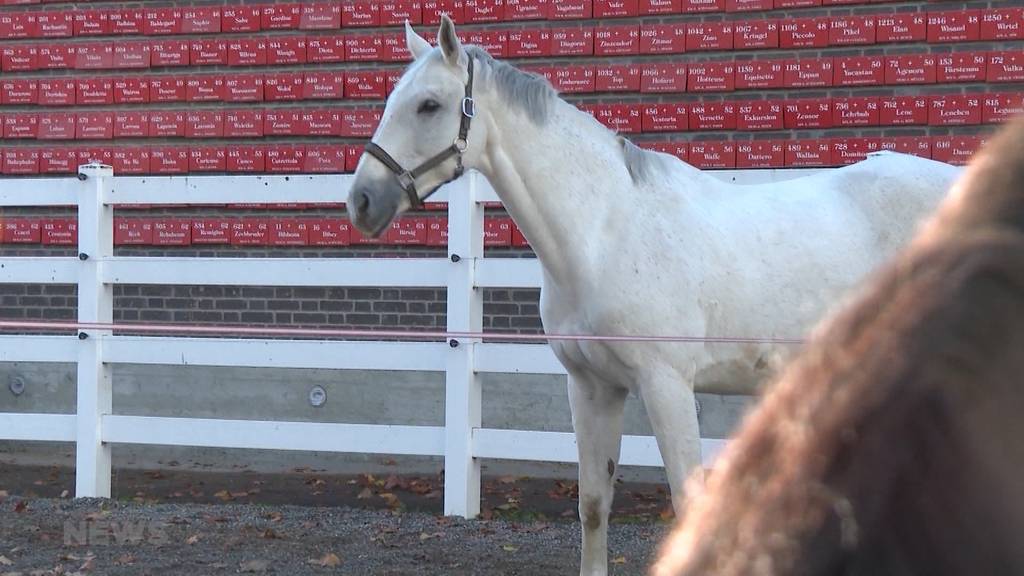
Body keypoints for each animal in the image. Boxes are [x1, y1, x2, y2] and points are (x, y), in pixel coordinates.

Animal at [348, 15, 962, 569]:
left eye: (429, 105)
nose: (361, 201)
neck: (605, 230)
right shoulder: (591, 389)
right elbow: (594, 507)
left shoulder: (667, 386)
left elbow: (688, 505)